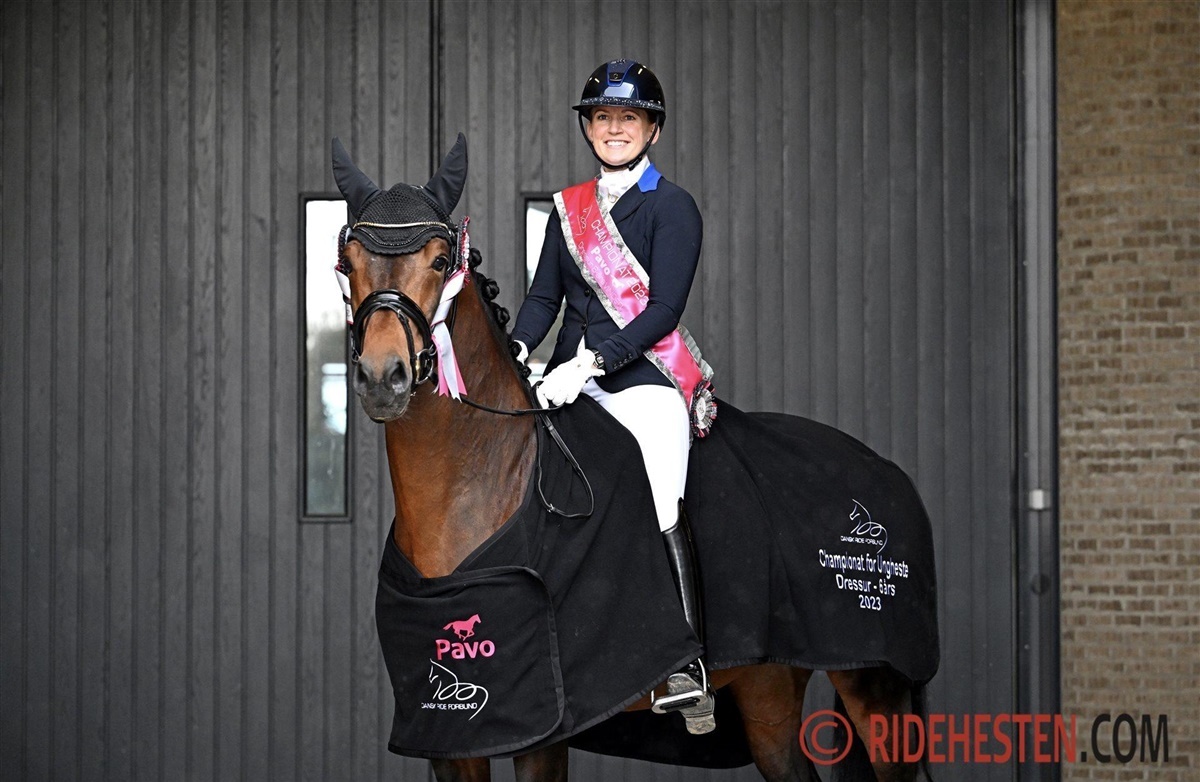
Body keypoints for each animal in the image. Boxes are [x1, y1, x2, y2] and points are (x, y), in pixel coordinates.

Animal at [332, 136, 933, 782]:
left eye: (442, 262)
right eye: (347, 263)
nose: (382, 379)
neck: (481, 485)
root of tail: (886, 470)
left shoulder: (544, 728)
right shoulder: (451, 736)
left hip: (878, 691)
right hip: (768, 687)